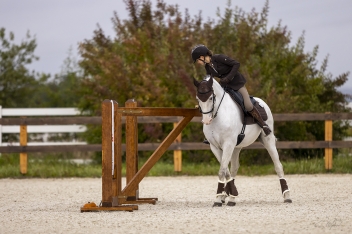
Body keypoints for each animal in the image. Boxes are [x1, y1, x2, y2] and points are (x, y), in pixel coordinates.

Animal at [192, 76, 292, 206]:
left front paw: (218, 199)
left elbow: (222, 170)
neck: (219, 115)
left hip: (268, 141)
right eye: (197, 98)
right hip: (236, 147)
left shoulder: (228, 144)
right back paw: (229, 197)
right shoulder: (215, 147)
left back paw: (287, 196)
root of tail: (262, 102)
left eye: (211, 98)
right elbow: (226, 170)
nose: (206, 120)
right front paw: (227, 196)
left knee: (278, 166)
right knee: (234, 168)